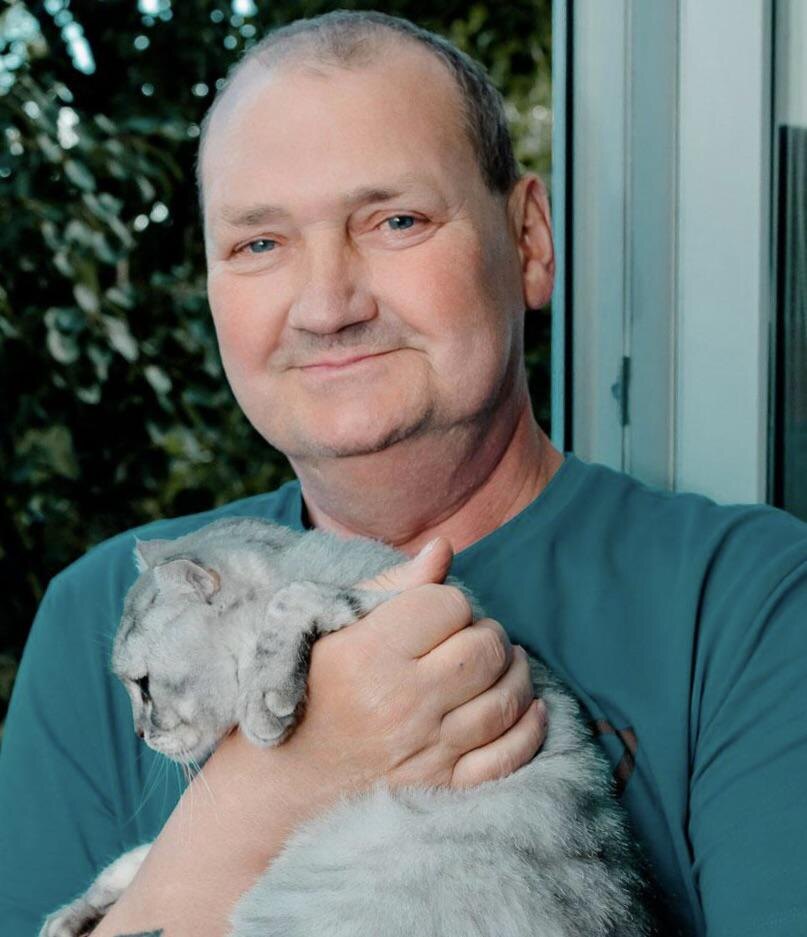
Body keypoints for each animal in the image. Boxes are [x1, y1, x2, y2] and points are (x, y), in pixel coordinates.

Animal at [40, 516, 652, 937]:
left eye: (142, 685)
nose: (140, 735)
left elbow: (294, 599)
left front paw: (267, 700)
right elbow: (135, 858)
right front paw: (74, 913)